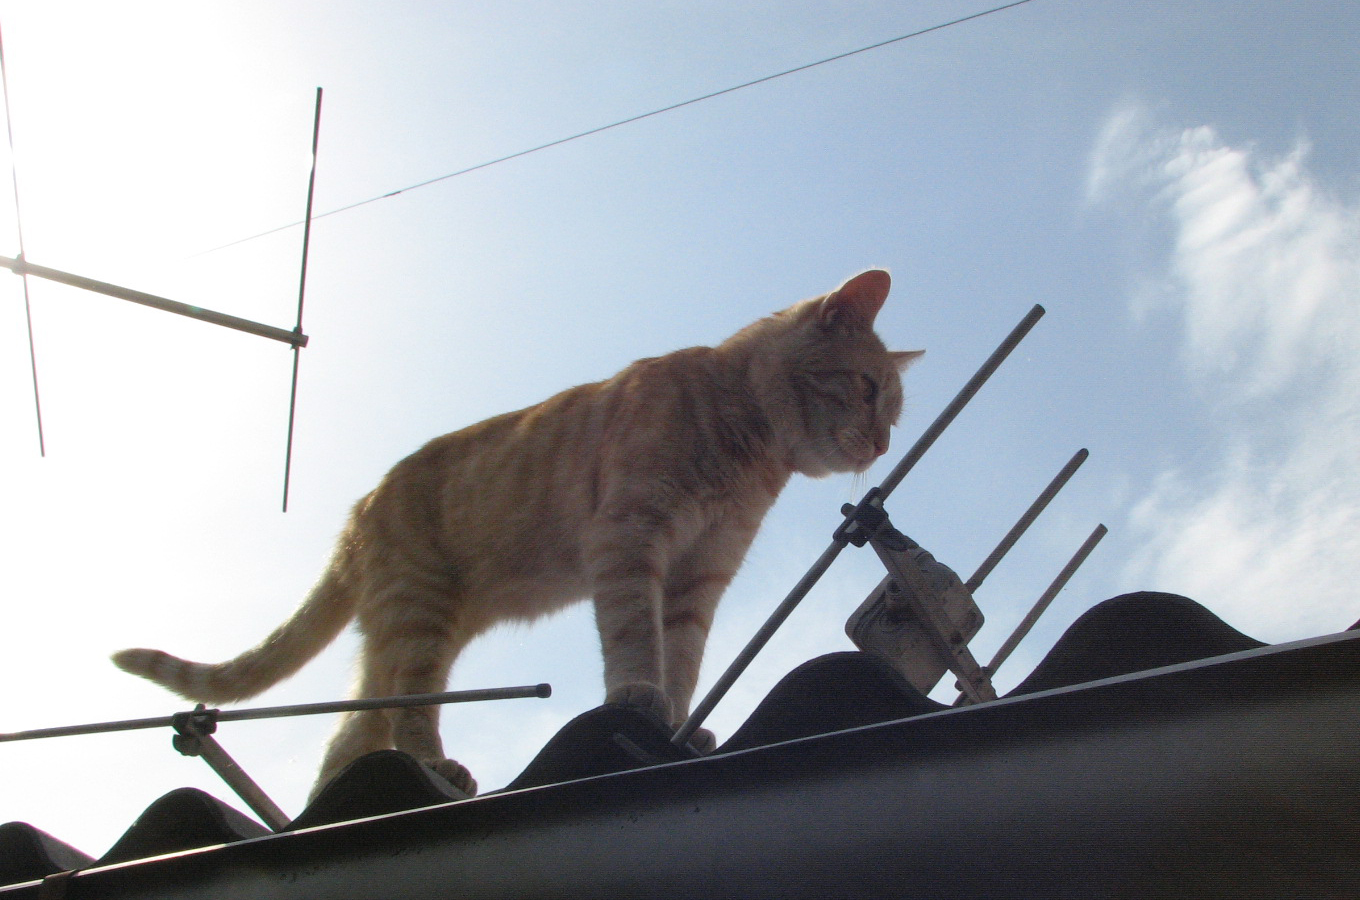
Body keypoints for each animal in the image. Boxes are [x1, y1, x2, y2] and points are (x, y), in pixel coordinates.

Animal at [114, 271, 924, 799]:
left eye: (892, 411)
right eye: (867, 390)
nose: (883, 444)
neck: (746, 446)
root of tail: (358, 511)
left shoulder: (700, 577)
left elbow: (685, 660)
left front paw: (678, 719)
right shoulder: (630, 542)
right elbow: (638, 641)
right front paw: (638, 698)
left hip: (412, 632)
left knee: (355, 732)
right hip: (420, 619)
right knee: (406, 710)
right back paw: (438, 771)